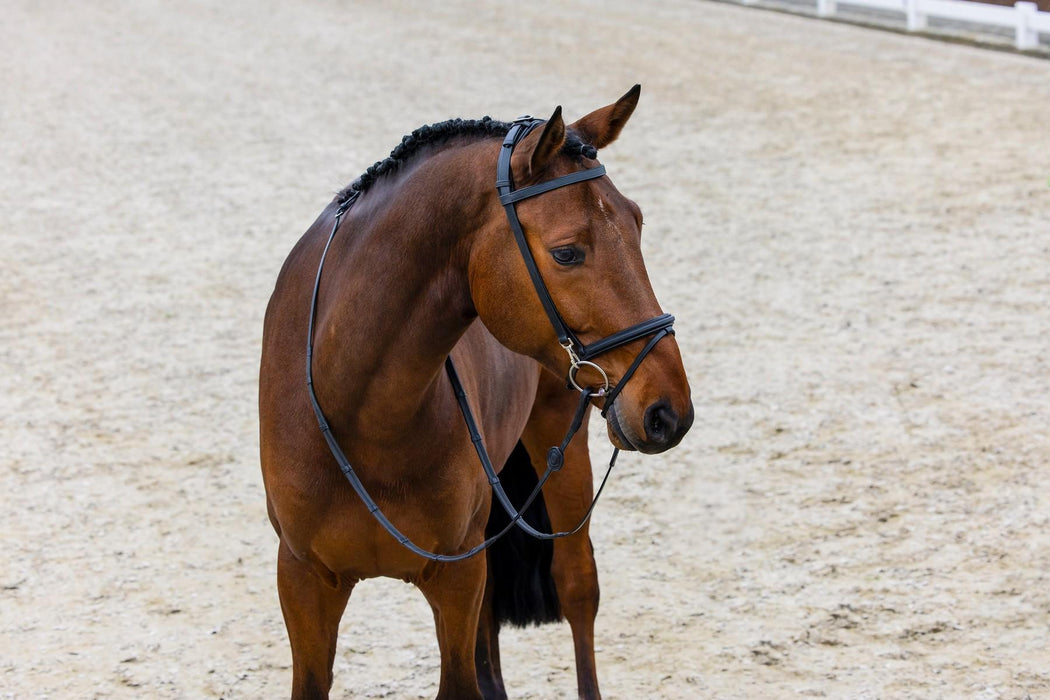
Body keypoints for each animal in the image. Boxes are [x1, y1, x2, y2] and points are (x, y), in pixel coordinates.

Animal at [258, 87, 692, 700]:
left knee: (577, 583)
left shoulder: (456, 577)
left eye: (637, 223)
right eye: (567, 253)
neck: (363, 414)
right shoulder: (302, 580)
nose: (668, 411)